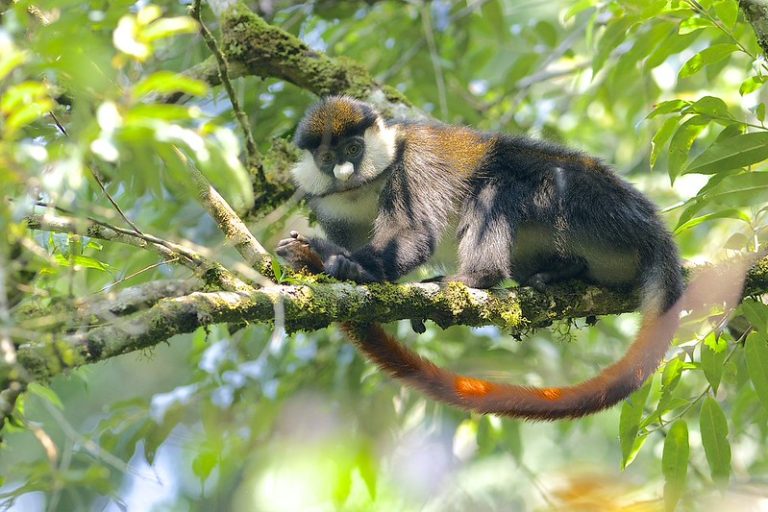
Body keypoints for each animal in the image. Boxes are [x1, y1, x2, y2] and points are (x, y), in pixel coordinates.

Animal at [276, 96, 684, 420]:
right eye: (327, 157)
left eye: (353, 149)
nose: (345, 172)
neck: (366, 187)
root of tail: (653, 231)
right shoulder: (328, 207)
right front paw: (319, 257)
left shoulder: (414, 164)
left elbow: (413, 234)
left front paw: (349, 265)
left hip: (594, 208)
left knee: (502, 180)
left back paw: (478, 276)